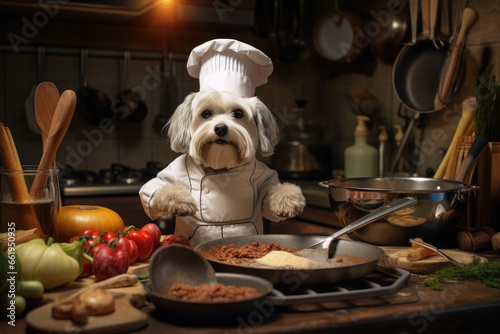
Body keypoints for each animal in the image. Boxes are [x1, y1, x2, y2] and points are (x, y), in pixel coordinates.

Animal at [139, 39, 306, 248]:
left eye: (238, 113)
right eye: (206, 113)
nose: (220, 128)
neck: (220, 168)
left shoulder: (263, 177)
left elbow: (273, 194)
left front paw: (288, 199)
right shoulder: (172, 172)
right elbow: (156, 189)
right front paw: (179, 201)